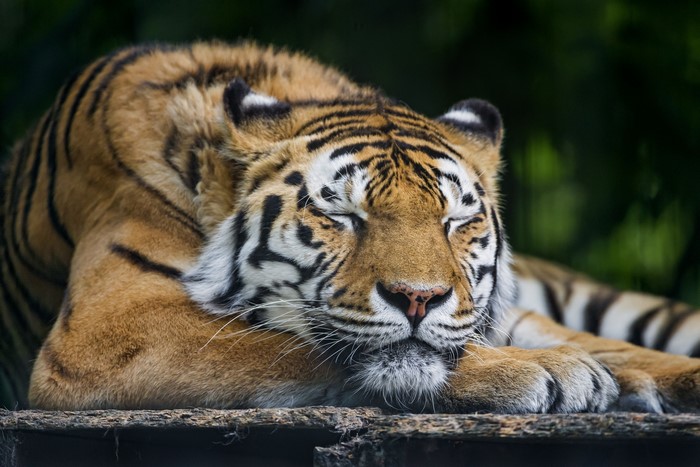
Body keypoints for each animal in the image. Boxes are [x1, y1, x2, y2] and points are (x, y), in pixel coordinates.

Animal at [1, 41, 699, 413]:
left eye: (455, 220)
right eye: (341, 214)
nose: (419, 298)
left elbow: (610, 347)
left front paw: (619, 375)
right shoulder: (110, 329)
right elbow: (285, 345)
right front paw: (551, 373)